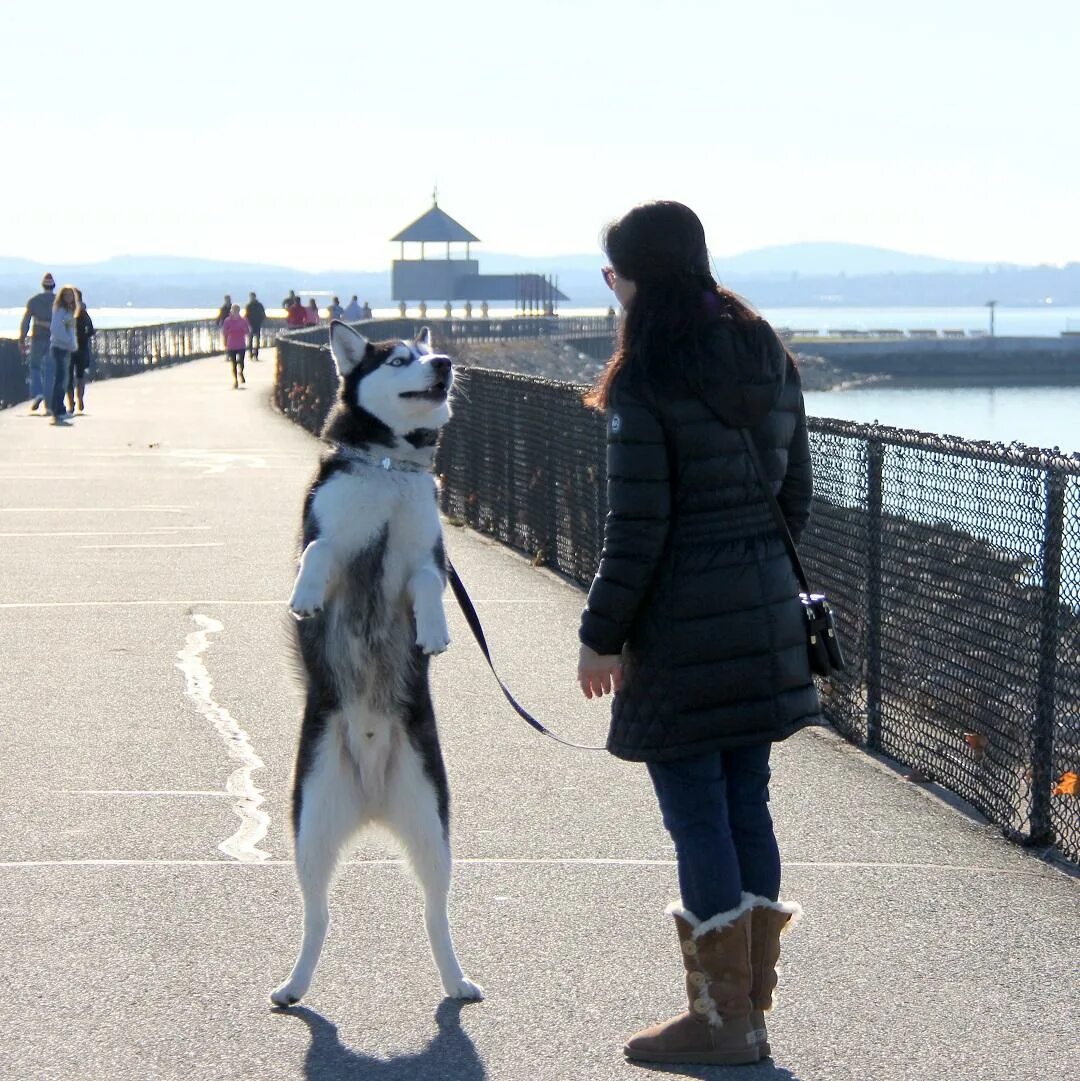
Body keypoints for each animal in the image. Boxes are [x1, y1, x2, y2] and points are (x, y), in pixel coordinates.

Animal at [272, 317, 484, 1003]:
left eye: (431, 349)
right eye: (398, 359)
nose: (444, 363)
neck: (391, 465)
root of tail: (368, 791)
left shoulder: (426, 559)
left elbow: (426, 585)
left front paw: (436, 631)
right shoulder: (323, 535)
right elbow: (316, 555)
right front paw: (305, 596)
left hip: (432, 826)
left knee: (435, 912)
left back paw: (456, 977)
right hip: (310, 827)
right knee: (317, 916)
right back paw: (294, 983)